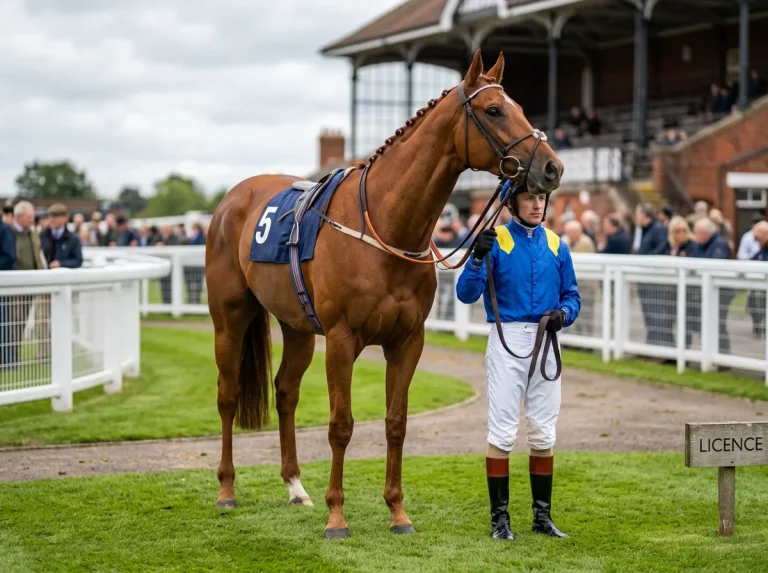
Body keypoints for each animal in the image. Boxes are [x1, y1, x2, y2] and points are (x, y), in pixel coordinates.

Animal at [204, 49, 563, 538]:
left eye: (522, 108)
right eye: (494, 110)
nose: (552, 167)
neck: (386, 226)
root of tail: (233, 198)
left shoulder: (407, 340)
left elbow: (396, 423)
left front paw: (398, 512)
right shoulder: (341, 340)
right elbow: (341, 425)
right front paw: (337, 517)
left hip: (297, 327)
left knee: (285, 392)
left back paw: (296, 487)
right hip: (230, 318)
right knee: (228, 395)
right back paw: (226, 490)